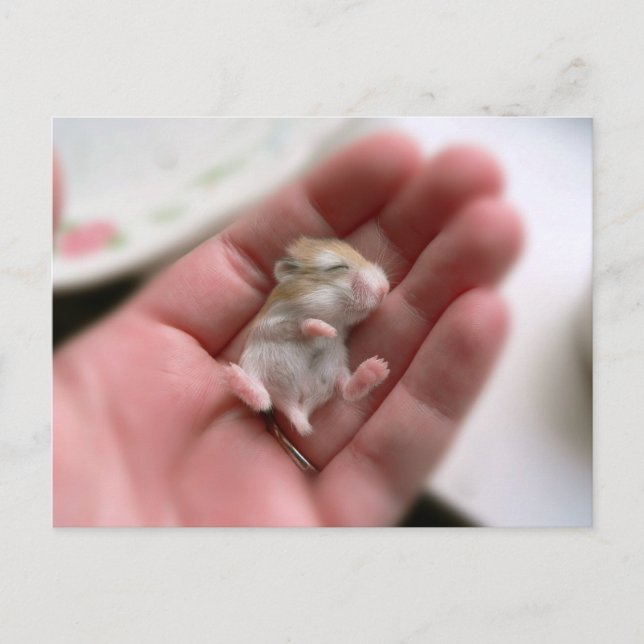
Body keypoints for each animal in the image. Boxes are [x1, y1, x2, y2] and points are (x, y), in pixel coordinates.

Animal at [224, 236, 390, 436]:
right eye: (338, 267)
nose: (385, 288)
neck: (333, 317)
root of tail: (298, 409)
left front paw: (330, 333)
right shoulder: (272, 324)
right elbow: (302, 324)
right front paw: (328, 330)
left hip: (334, 368)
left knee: (347, 391)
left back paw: (377, 367)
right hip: (253, 365)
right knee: (262, 398)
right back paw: (233, 374)